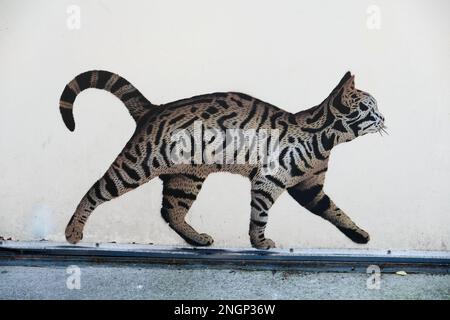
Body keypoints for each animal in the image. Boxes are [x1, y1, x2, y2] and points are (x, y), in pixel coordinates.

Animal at [58, 71, 384, 249]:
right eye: (371, 109)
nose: (384, 118)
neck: (324, 140)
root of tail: (155, 107)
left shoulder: (310, 188)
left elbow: (336, 212)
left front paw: (359, 235)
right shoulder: (267, 181)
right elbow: (259, 216)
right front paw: (259, 242)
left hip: (186, 179)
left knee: (170, 212)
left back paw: (196, 239)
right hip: (135, 167)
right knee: (94, 191)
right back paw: (73, 231)